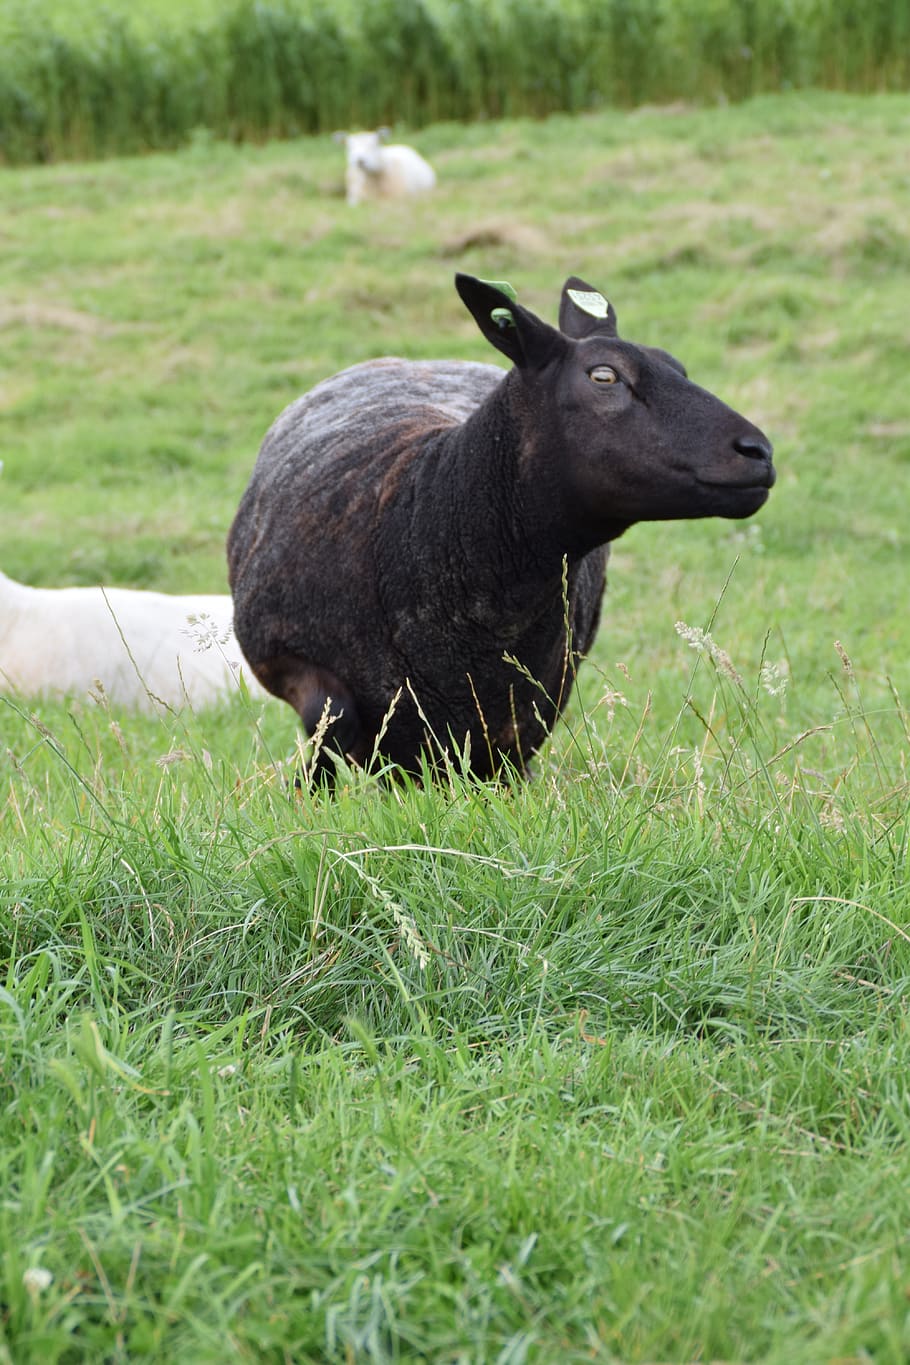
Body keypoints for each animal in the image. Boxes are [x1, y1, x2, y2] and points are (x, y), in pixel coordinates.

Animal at [227, 273, 774, 781]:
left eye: (678, 366)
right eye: (604, 376)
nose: (759, 452)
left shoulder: (529, 706)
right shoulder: (291, 661)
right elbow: (331, 733)